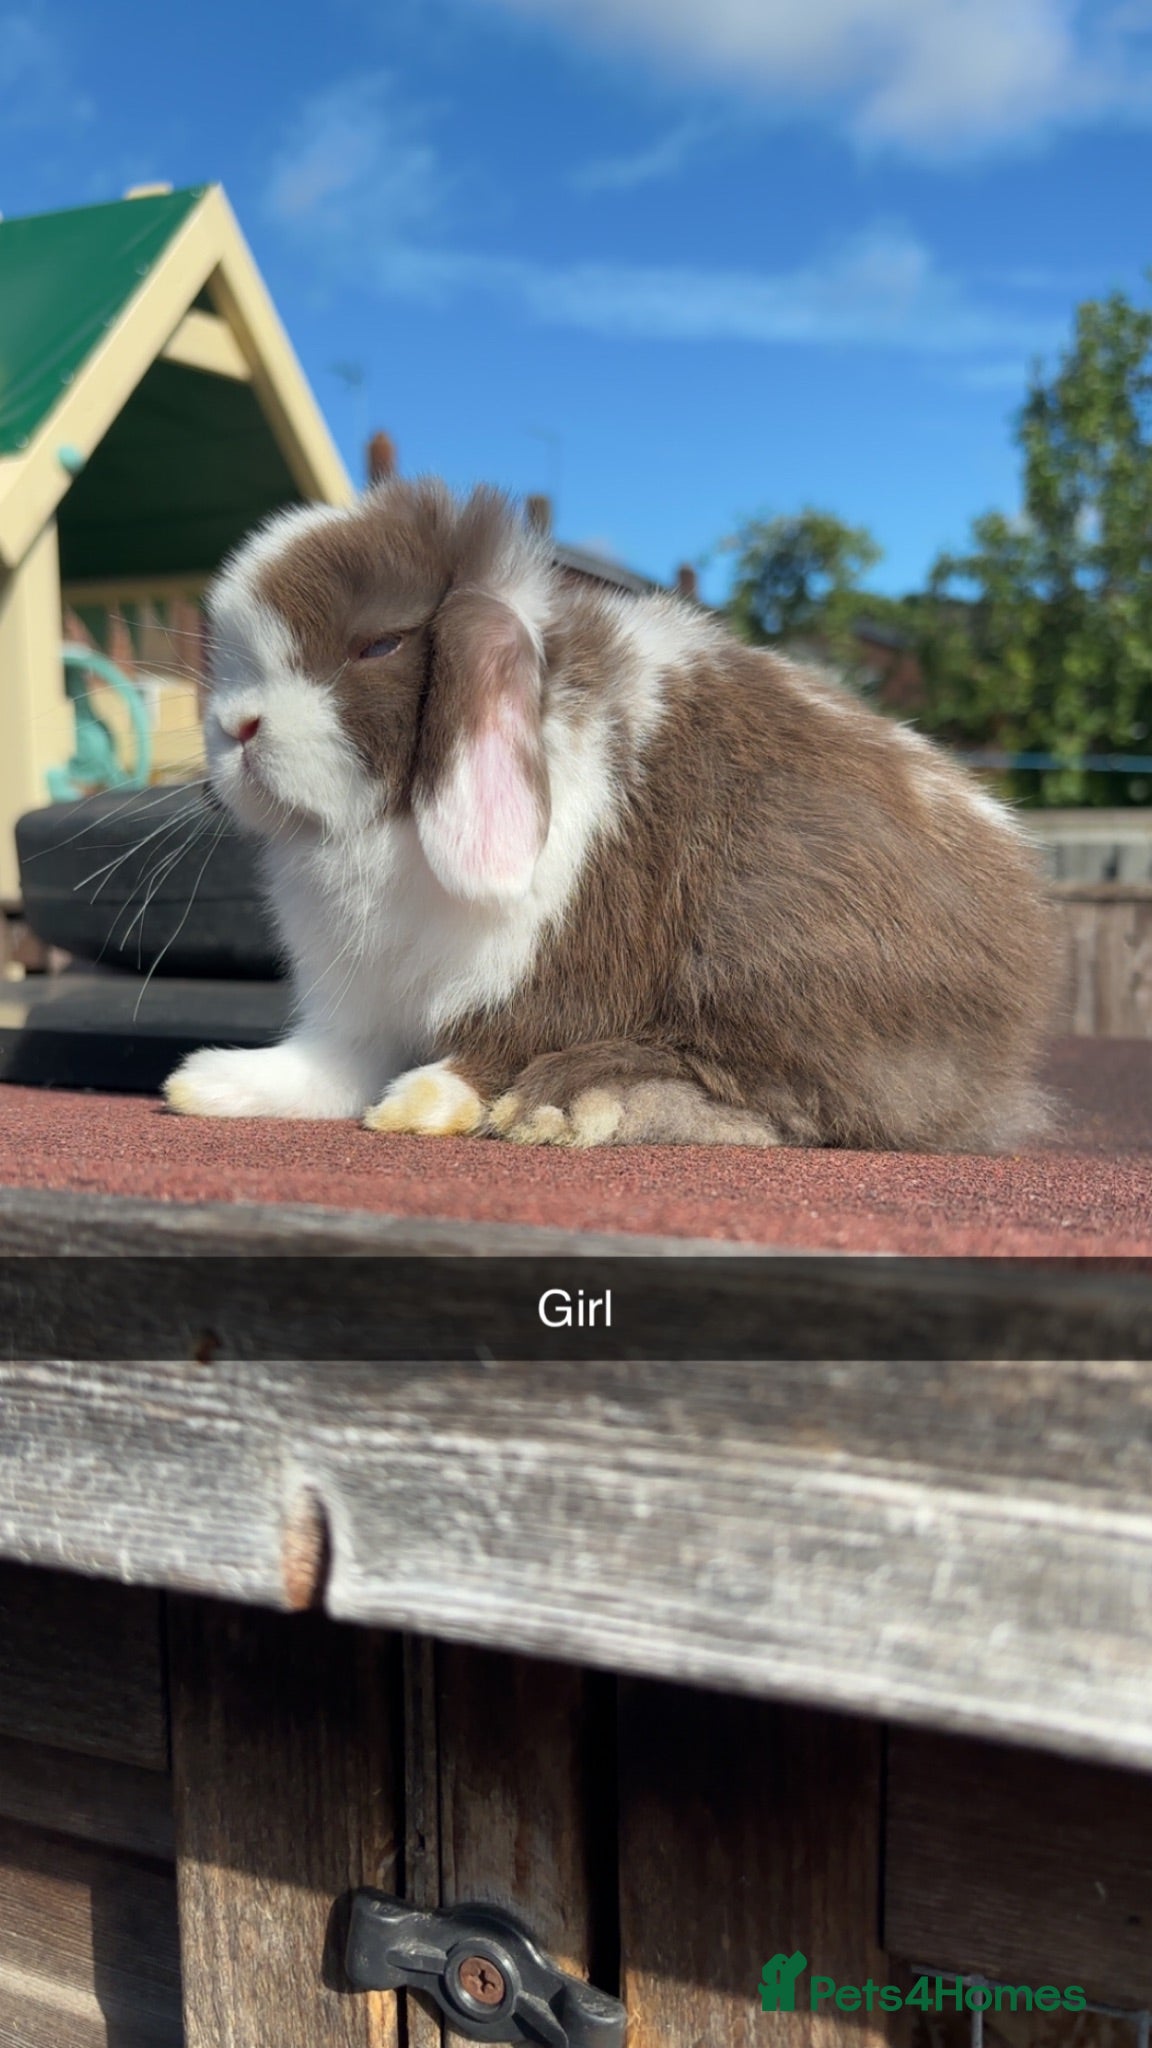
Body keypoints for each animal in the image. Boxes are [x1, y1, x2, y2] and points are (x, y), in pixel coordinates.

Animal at [164, 477, 1057, 1149]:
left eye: (378, 645)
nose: (235, 727)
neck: (389, 827)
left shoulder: (561, 958)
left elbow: (505, 1039)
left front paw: (424, 1101)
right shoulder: (355, 998)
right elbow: (327, 1066)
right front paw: (210, 1084)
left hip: (770, 954)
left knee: (791, 1105)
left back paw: (569, 1104)